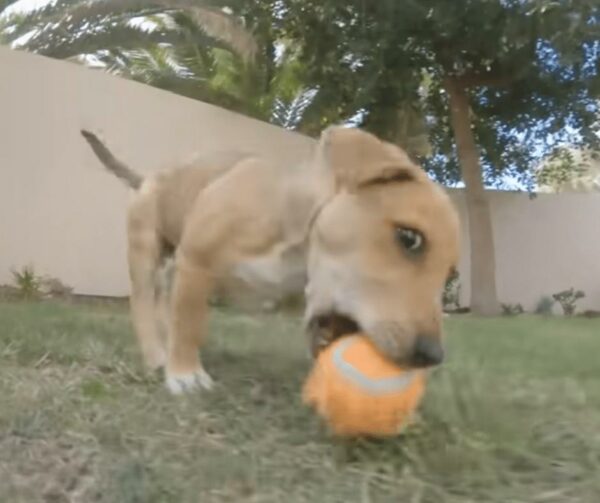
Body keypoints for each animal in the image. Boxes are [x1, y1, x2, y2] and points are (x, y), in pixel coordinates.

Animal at [81, 126, 460, 394]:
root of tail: (148, 176)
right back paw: (157, 354)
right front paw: (185, 374)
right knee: (144, 301)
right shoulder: (196, 262)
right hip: (146, 249)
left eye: (450, 273)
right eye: (410, 238)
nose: (431, 356)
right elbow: (188, 323)